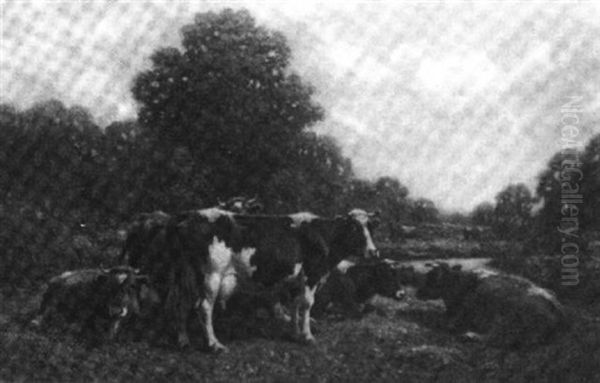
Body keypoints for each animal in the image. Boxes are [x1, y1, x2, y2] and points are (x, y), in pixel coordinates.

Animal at [163, 208, 380, 352]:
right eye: (354, 228)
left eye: (370, 228)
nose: (373, 251)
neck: (324, 235)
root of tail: (191, 215)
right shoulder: (311, 274)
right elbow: (307, 304)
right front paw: (308, 336)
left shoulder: (295, 280)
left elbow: (295, 305)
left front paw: (295, 333)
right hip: (211, 274)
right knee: (204, 307)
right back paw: (214, 344)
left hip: (185, 275)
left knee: (180, 304)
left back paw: (183, 341)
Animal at [418, 264, 568, 348]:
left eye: (432, 278)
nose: (417, 292)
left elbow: (447, 322)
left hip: (505, 318)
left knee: (501, 339)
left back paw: (470, 336)